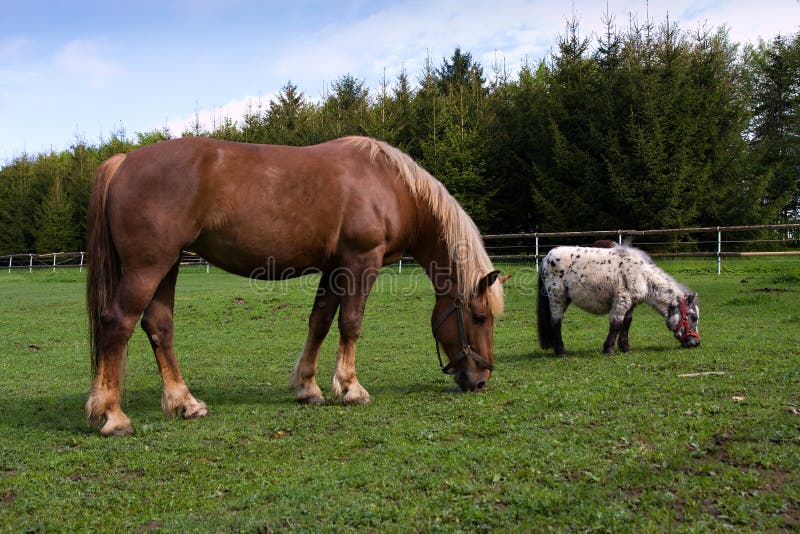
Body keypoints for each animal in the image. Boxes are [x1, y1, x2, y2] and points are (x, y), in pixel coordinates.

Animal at [85, 136, 506, 436]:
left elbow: (319, 323)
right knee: (118, 323)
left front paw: (309, 388)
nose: (480, 380)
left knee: (159, 326)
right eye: (480, 318)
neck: (392, 186)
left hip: (167, 266)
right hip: (148, 267)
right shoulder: (361, 262)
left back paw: (185, 403)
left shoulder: (335, 267)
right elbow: (350, 323)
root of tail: (124, 162)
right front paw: (351, 389)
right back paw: (113, 415)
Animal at [537, 245, 700, 356]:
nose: (696, 343)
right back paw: (561, 351)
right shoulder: (622, 301)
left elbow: (626, 324)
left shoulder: (631, 304)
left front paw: (625, 347)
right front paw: (609, 349)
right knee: (556, 322)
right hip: (558, 297)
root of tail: (547, 257)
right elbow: (616, 324)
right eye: (693, 317)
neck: (643, 276)